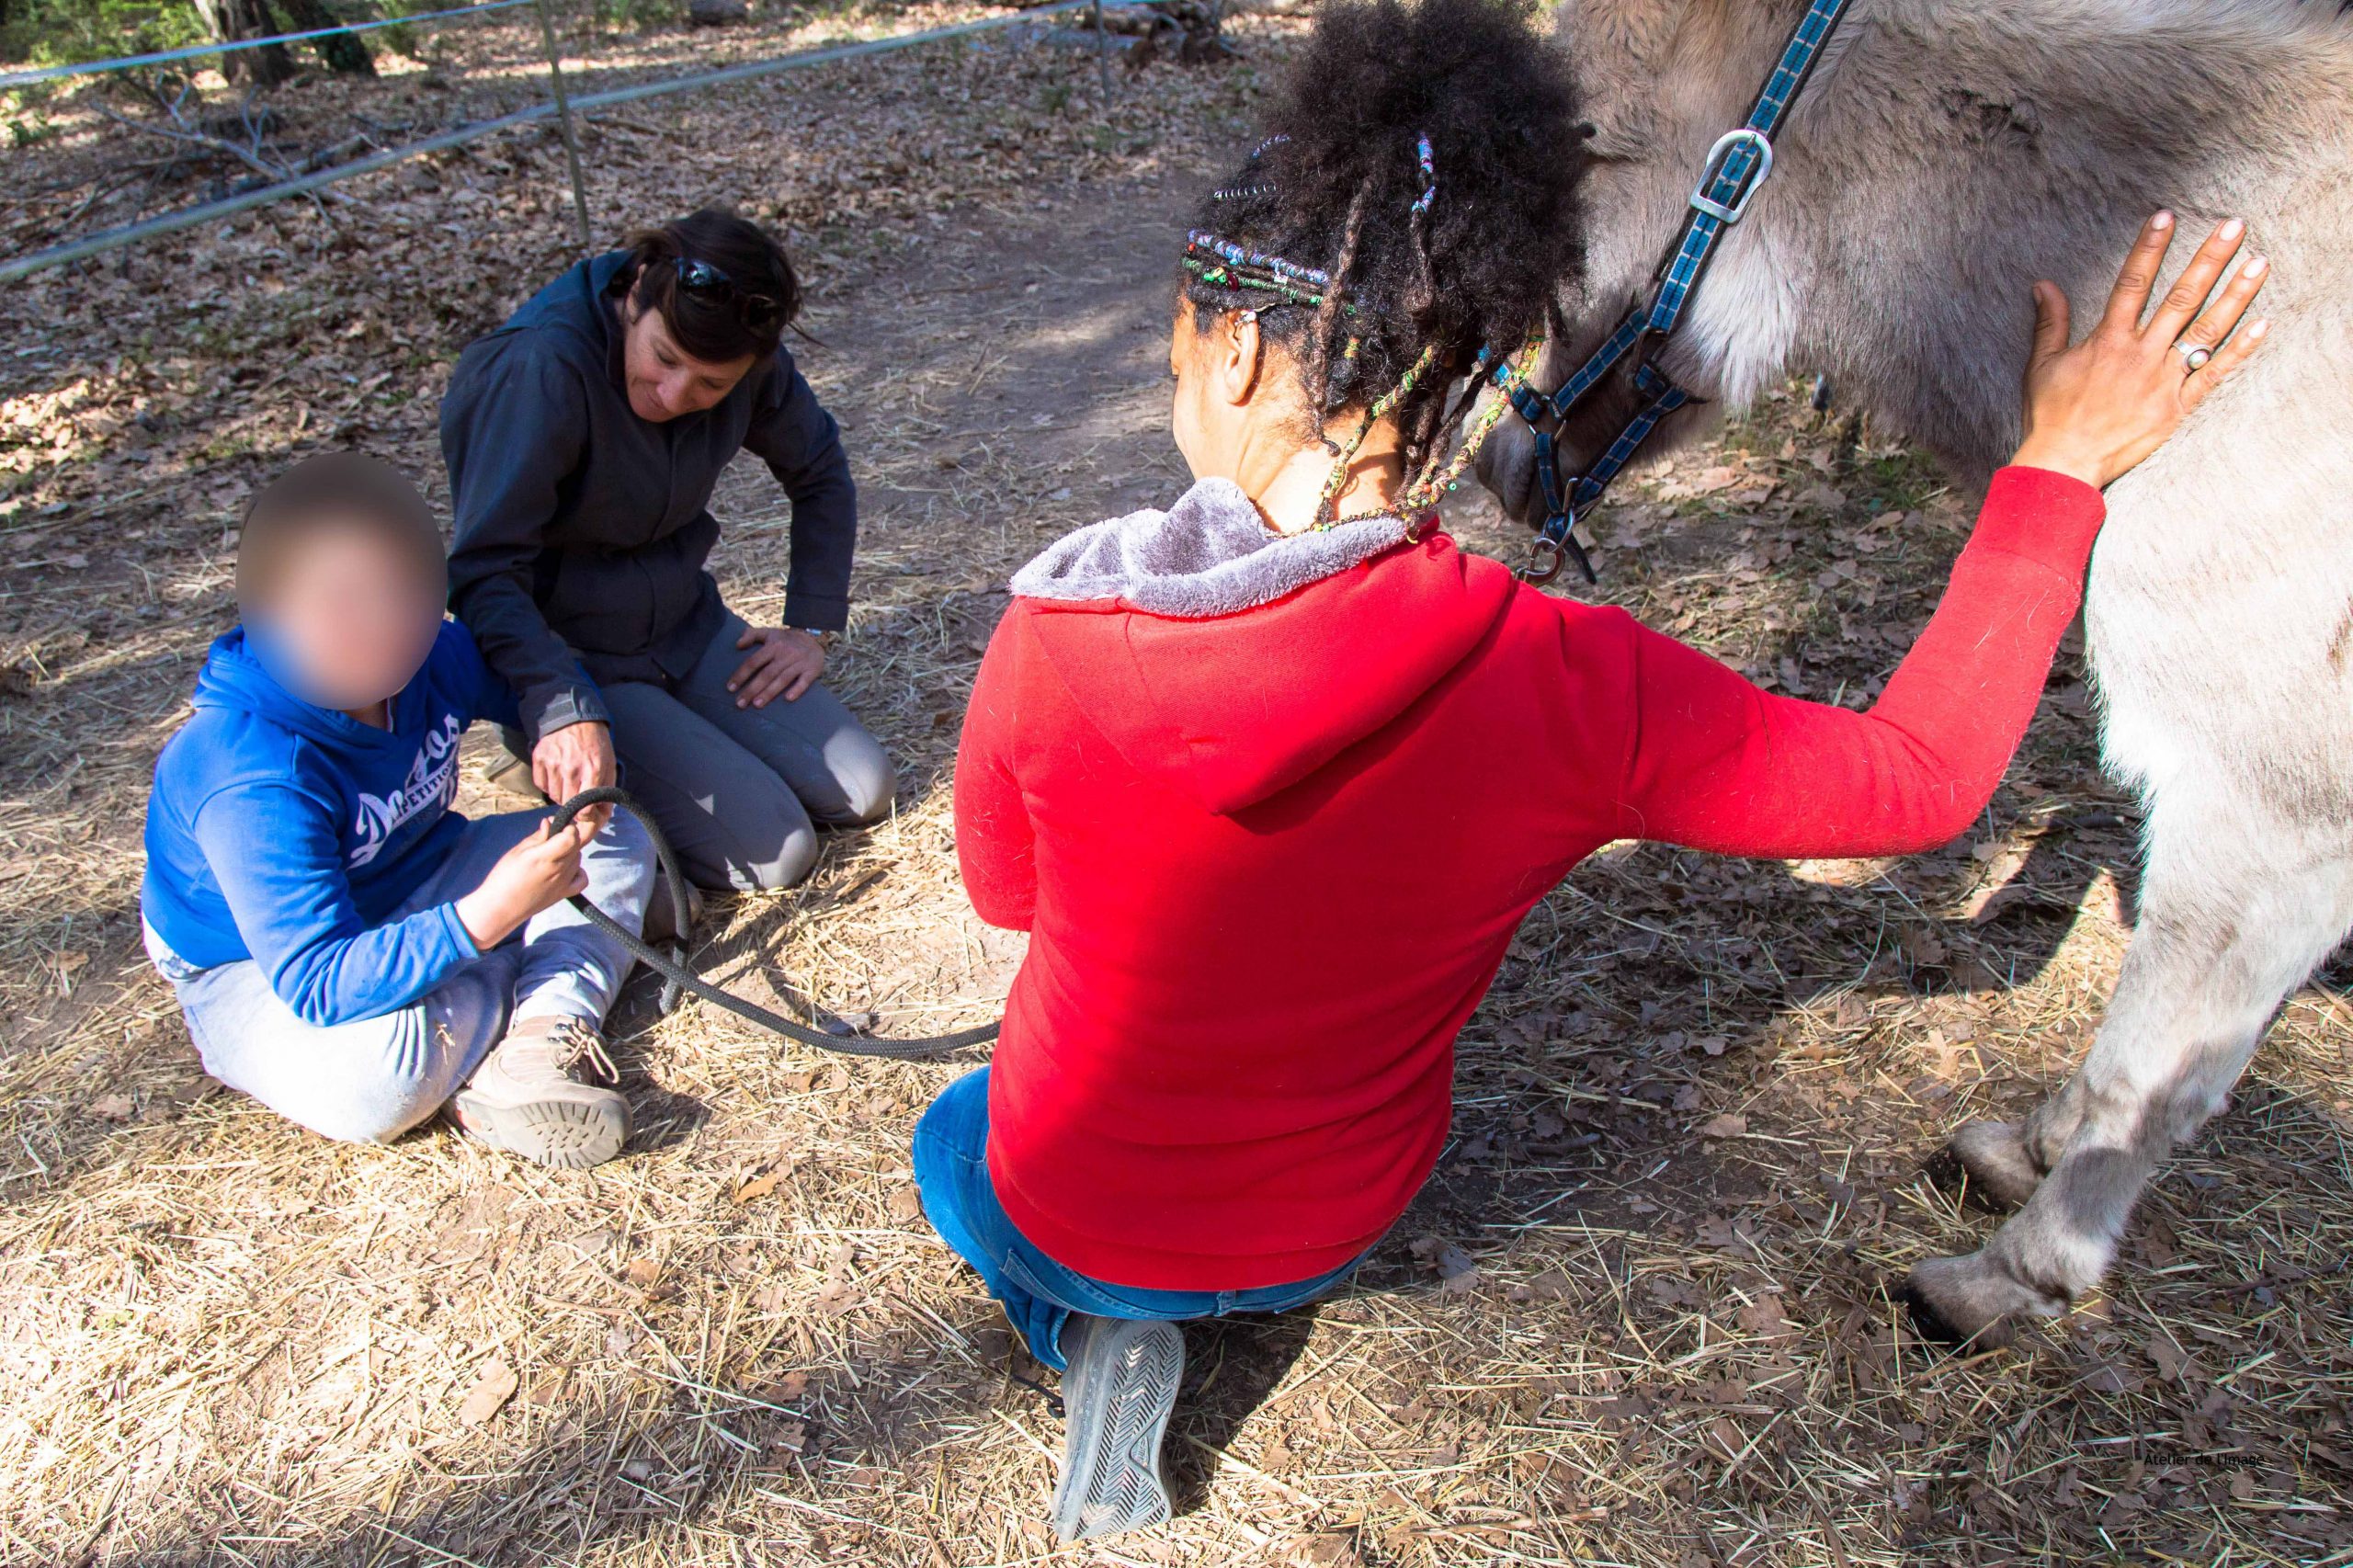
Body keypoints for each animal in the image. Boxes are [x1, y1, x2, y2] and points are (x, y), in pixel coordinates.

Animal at [1474, 0, 2353, 1346]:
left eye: (1591, 150)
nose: (1496, 467)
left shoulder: (2267, 808)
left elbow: (2154, 1073)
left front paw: (2015, 1273)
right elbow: (2166, 1052)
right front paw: (2028, 1152)